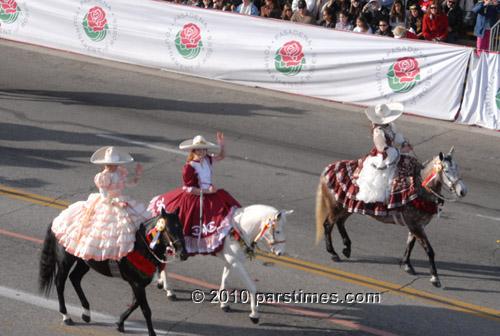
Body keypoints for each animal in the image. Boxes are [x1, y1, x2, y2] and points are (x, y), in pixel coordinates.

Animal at [39, 209, 188, 334]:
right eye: (168, 229)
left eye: (181, 227)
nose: (184, 254)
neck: (141, 245)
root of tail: (57, 219)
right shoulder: (136, 283)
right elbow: (146, 310)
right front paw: (151, 333)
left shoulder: (140, 283)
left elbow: (135, 304)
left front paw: (120, 323)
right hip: (64, 262)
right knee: (60, 284)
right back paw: (66, 316)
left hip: (84, 262)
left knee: (75, 278)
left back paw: (86, 313)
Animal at [156, 203, 292, 324]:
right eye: (277, 231)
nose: (280, 252)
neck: (239, 230)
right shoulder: (235, 262)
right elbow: (251, 286)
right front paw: (254, 315)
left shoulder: (231, 261)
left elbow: (225, 279)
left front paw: (224, 303)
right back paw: (169, 290)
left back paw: (161, 283)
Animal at [318, 148, 466, 288]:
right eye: (446, 170)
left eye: (458, 168)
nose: (463, 191)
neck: (419, 187)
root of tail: (328, 169)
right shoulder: (416, 226)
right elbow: (429, 251)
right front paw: (435, 278)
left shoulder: (416, 225)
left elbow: (410, 244)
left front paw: (407, 265)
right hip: (336, 207)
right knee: (328, 225)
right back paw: (333, 252)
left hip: (347, 206)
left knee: (340, 222)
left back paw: (347, 248)